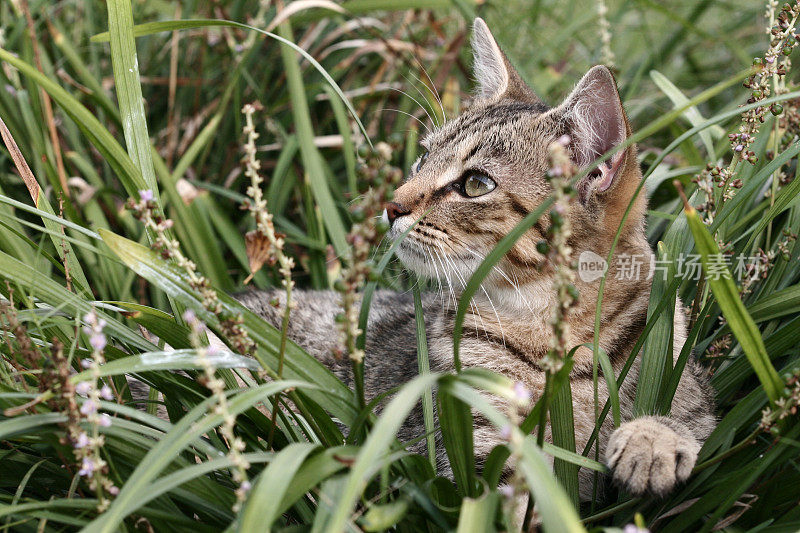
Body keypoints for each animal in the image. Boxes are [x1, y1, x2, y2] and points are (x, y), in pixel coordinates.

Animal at [234, 17, 716, 498]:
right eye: (423, 158)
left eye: (475, 184)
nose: (390, 205)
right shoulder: (479, 446)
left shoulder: (694, 392)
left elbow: (694, 419)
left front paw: (651, 438)